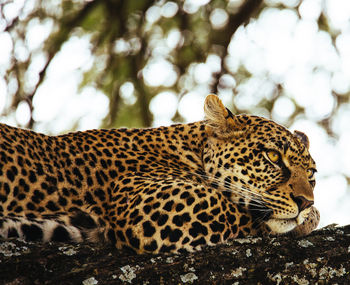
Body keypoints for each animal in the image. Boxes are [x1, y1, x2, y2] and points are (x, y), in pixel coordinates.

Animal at [0, 94, 318, 252]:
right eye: (273, 157)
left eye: (312, 175)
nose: (305, 201)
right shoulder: (149, 203)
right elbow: (234, 209)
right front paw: (303, 219)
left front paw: (309, 215)